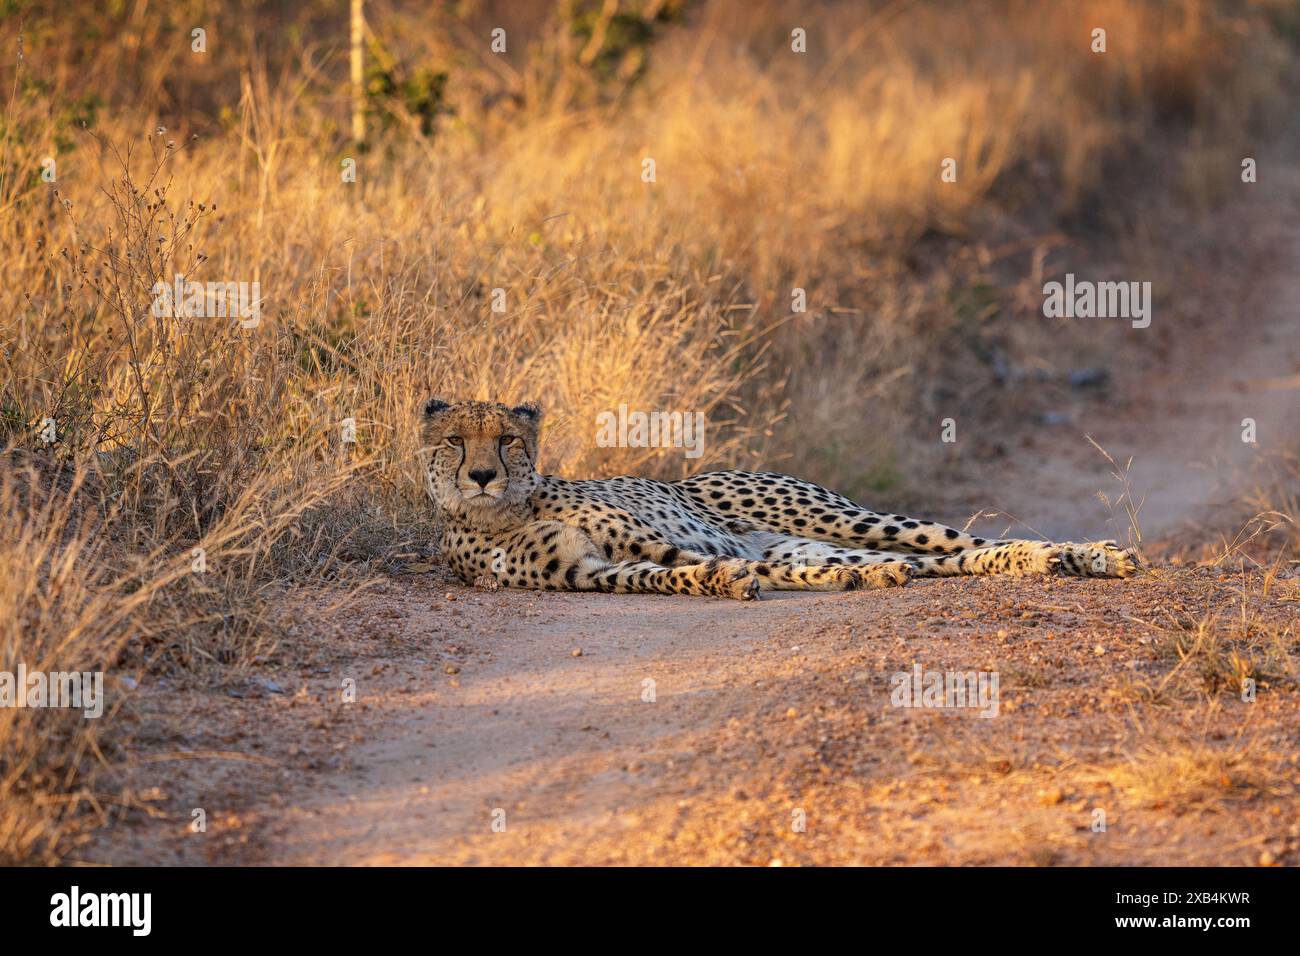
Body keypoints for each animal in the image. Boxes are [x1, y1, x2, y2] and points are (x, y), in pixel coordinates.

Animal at [418, 400, 1138, 600]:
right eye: (455, 440)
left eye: (507, 440)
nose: (480, 474)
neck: (502, 510)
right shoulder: (587, 569)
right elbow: (664, 577)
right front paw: (723, 583)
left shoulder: (653, 540)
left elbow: (700, 563)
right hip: (819, 536)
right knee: (932, 562)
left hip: (841, 517)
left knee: (963, 541)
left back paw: (1092, 554)